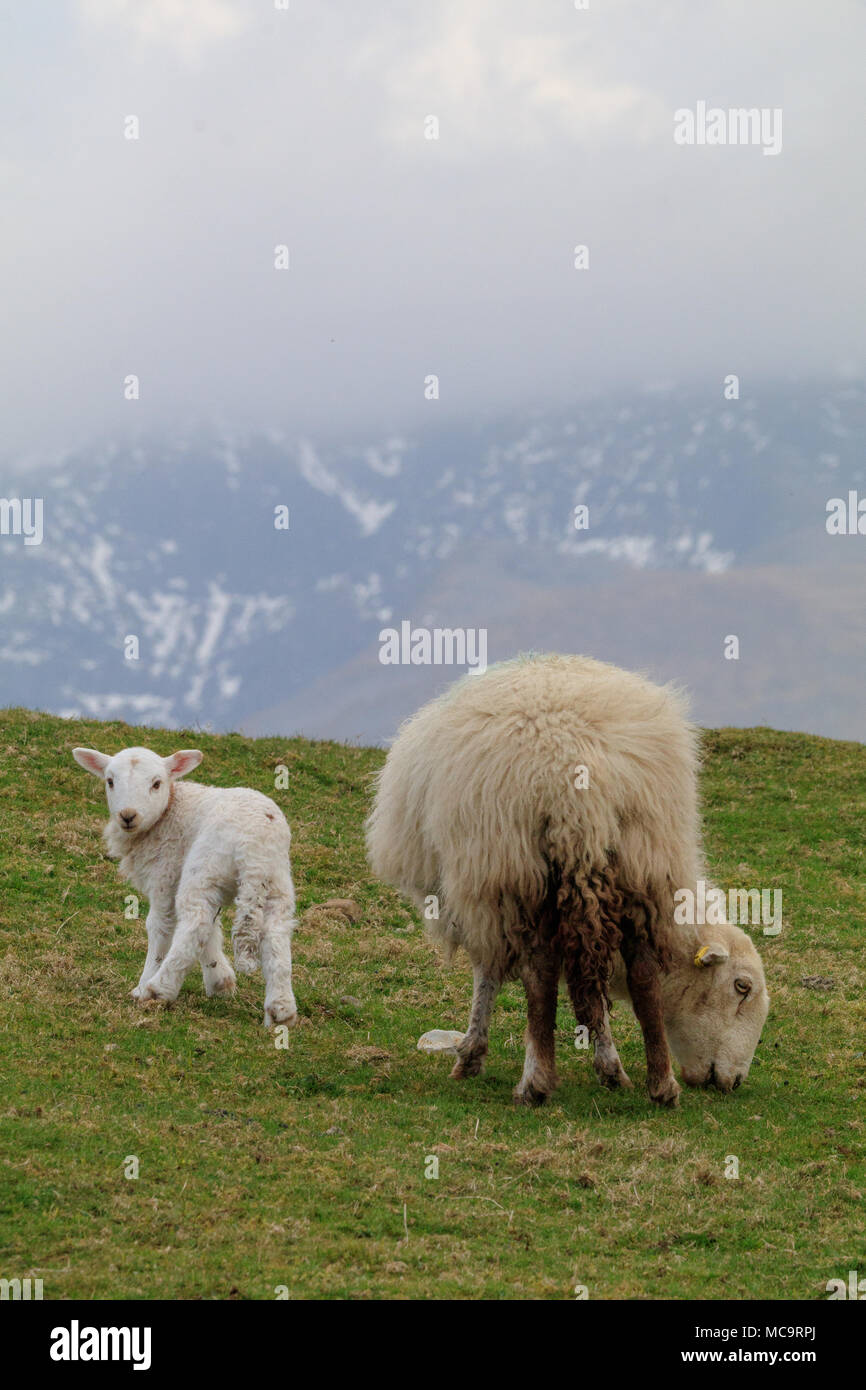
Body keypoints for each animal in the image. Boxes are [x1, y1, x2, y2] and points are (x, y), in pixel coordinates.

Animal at [69, 745, 297, 1028]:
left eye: (156, 783)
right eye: (110, 782)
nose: (128, 816)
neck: (170, 809)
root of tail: (256, 845)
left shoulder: (166, 872)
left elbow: (161, 926)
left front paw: (144, 983)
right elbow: (213, 931)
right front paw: (220, 982)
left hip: (206, 864)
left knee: (195, 923)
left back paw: (157, 989)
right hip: (276, 880)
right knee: (275, 933)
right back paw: (280, 1011)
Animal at [366, 653, 772, 1106]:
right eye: (741, 987)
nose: (734, 1081)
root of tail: (571, 766)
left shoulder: (479, 892)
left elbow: (488, 974)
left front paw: (471, 1055)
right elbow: (587, 986)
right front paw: (609, 1067)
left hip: (514, 865)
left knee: (539, 973)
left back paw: (535, 1082)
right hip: (643, 853)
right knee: (641, 972)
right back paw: (661, 1086)